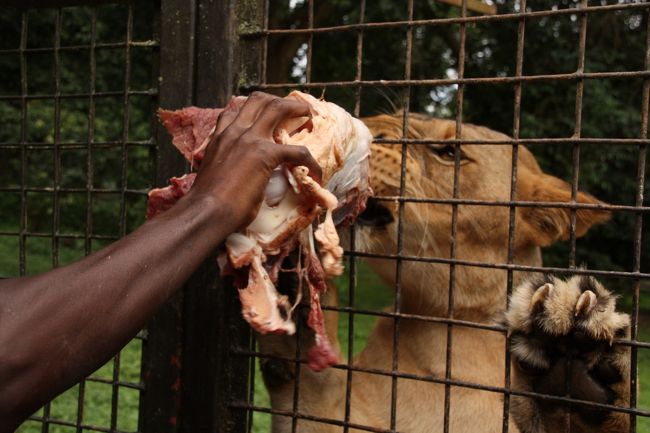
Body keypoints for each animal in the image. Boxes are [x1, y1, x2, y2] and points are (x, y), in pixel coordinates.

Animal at [256, 112, 628, 432]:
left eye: (450, 152)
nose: (368, 129)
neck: (445, 332)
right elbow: (312, 387)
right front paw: (294, 297)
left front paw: (573, 338)